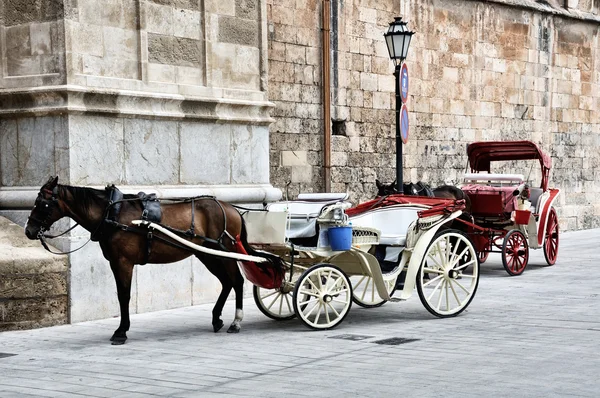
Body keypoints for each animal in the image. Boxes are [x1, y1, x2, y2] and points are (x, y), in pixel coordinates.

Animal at [24, 176, 282, 344]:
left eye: (42, 203)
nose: (29, 231)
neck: (112, 214)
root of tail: (232, 208)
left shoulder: (122, 262)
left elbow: (124, 296)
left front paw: (121, 331)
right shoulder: (115, 262)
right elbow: (121, 295)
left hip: (225, 252)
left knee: (236, 281)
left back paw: (236, 322)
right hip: (207, 254)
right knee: (227, 282)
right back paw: (216, 319)